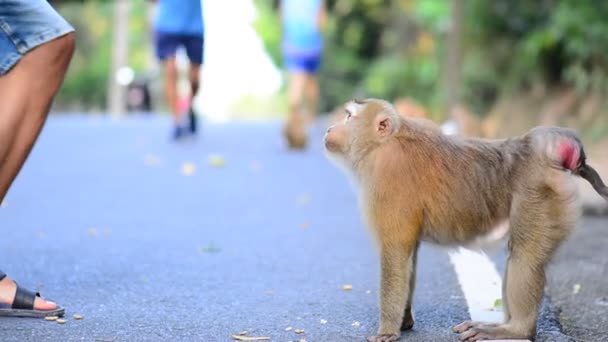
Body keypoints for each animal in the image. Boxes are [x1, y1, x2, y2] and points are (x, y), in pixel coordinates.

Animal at [324, 97, 608, 340]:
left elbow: (395, 251)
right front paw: (404, 321)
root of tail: (534, 147)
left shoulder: (387, 180)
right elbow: (408, 254)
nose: (329, 128)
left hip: (538, 196)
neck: (382, 144)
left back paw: (516, 330)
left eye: (348, 116)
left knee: (525, 258)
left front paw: (387, 331)